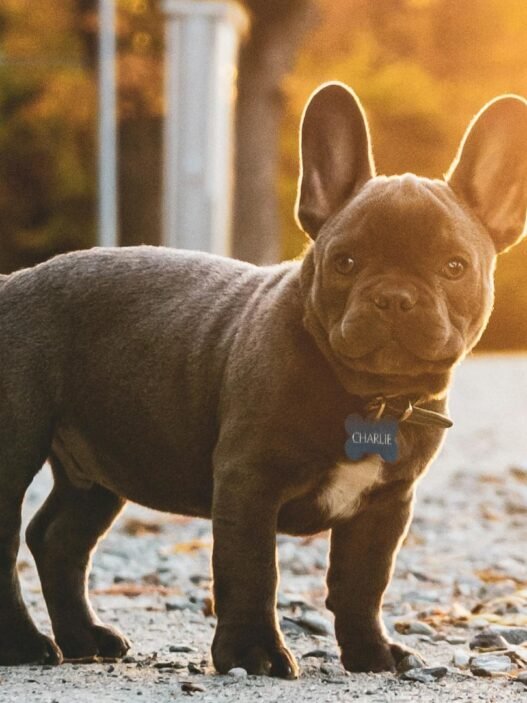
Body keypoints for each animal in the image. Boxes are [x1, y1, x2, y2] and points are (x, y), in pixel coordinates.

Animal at [1, 82, 527, 676]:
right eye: (345, 262)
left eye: (455, 267)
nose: (394, 296)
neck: (370, 396)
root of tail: (12, 282)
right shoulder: (249, 482)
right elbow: (254, 570)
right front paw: (254, 652)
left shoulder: (385, 505)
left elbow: (364, 582)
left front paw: (371, 652)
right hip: (15, 446)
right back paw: (22, 645)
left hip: (99, 469)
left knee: (59, 539)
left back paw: (83, 639)